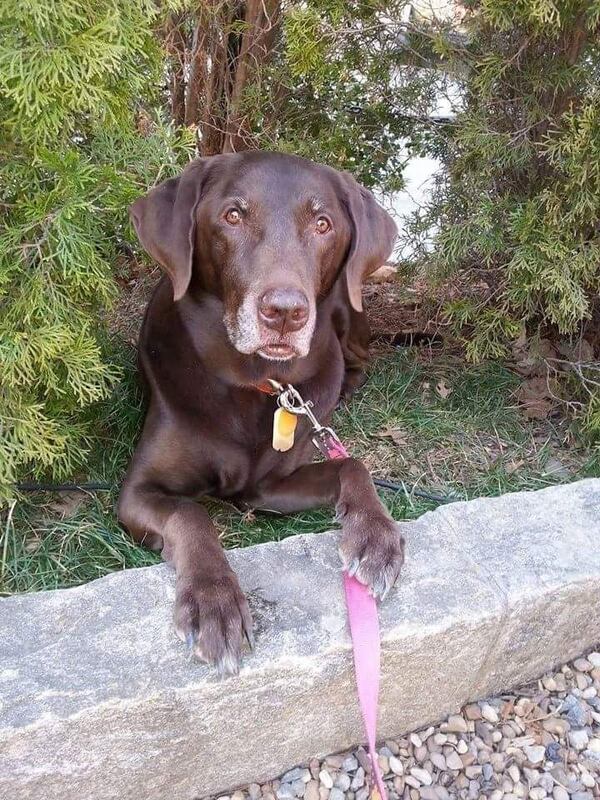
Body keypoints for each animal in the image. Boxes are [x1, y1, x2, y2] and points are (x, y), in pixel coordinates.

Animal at [119, 152, 406, 676]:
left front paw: (374, 535)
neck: (258, 381)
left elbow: (352, 464)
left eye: (322, 223)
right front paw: (213, 599)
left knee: (354, 358)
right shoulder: (138, 491)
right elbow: (191, 512)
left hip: (349, 313)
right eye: (233, 215)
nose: (285, 312)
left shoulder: (267, 486)